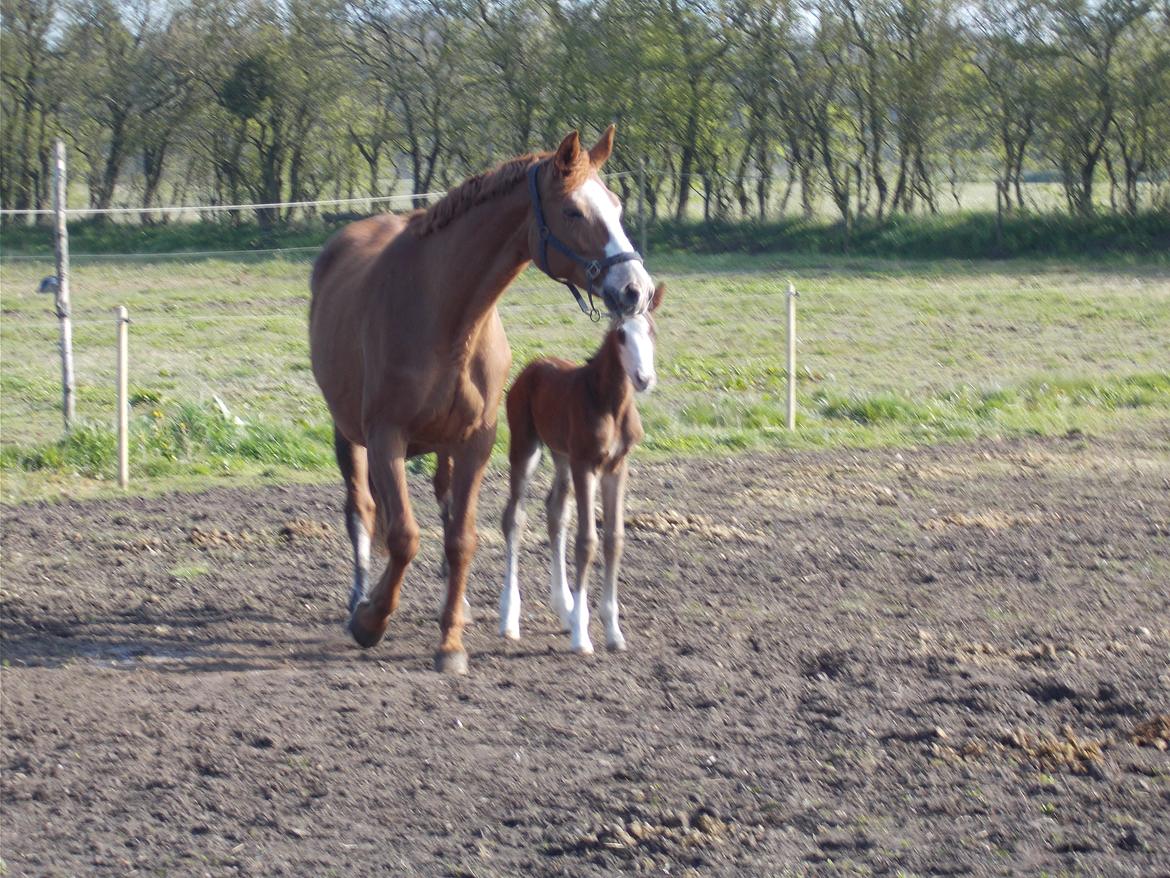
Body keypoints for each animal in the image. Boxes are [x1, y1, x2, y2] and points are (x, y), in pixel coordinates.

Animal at [498, 285, 669, 655]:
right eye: (621, 335)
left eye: (652, 330)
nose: (644, 379)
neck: (611, 403)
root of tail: (532, 367)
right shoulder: (585, 464)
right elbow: (586, 540)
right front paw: (582, 636)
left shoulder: (616, 466)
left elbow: (614, 539)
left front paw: (613, 632)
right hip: (526, 447)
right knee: (514, 518)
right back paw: (510, 618)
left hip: (561, 456)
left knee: (554, 511)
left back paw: (564, 608)